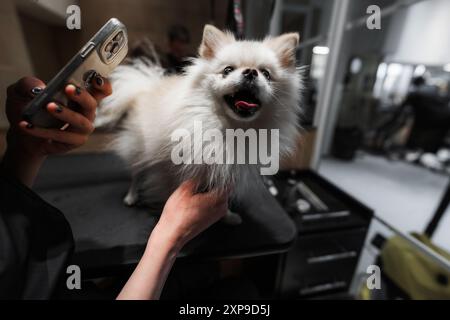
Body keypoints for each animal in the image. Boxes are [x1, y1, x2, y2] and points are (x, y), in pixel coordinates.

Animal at [96, 25, 304, 224]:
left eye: (266, 74)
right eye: (227, 70)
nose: (251, 72)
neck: (232, 129)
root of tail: (145, 89)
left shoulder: (224, 173)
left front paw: (228, 216)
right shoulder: (172, 171)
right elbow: (168, 193)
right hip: (138, 147)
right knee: (137, 172)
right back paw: (131, 196)